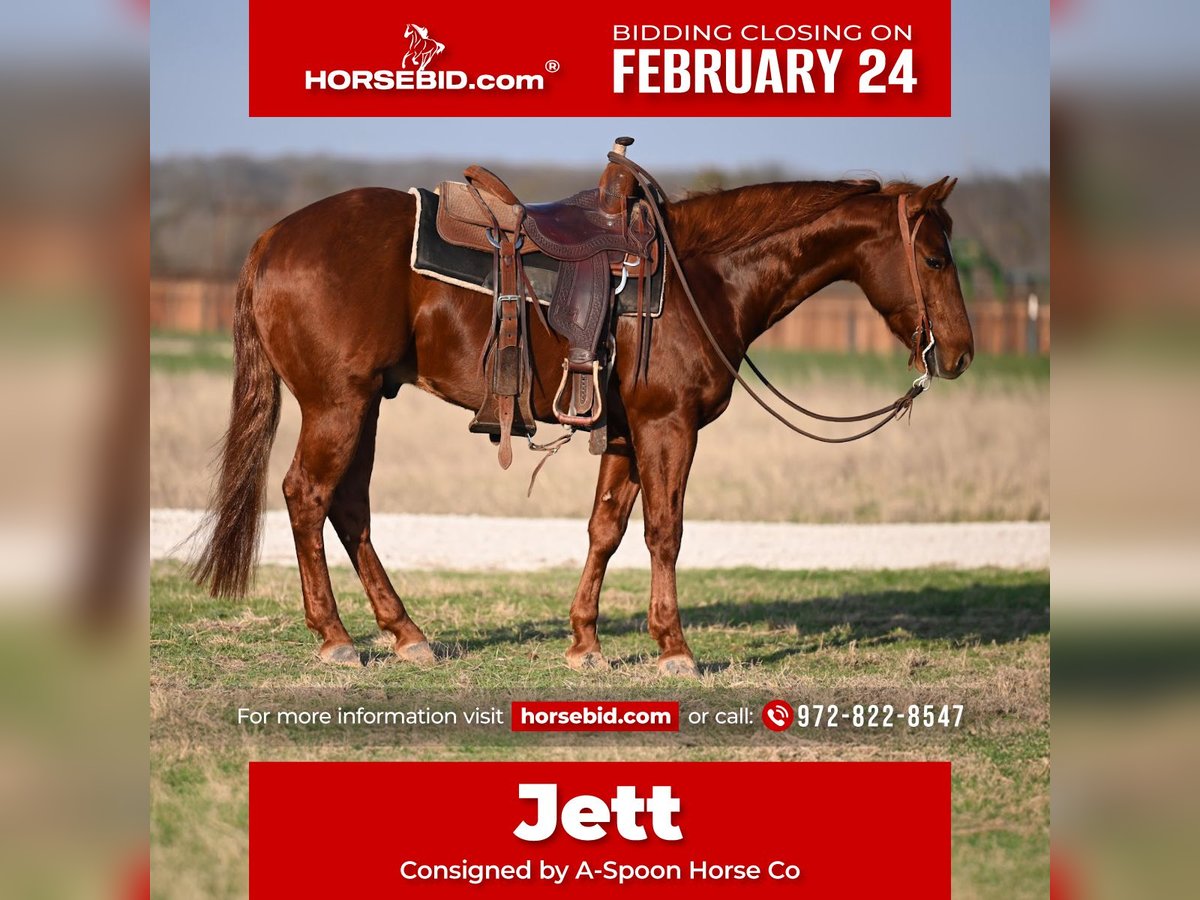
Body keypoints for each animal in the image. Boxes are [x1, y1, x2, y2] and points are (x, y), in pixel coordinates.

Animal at [189, 174, 974, 676]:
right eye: (935, 257)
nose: (962, 353)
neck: (701, 277)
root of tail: (270, 241)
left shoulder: (626, 432)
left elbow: (607, 528)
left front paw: (585, 644)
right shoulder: (668, 426)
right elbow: (665, 531)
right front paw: (673, 649)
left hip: (366, 403)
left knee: (348, 507)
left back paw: (405, 633)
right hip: (338, 404)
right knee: (306, 497)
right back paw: (335, 637)